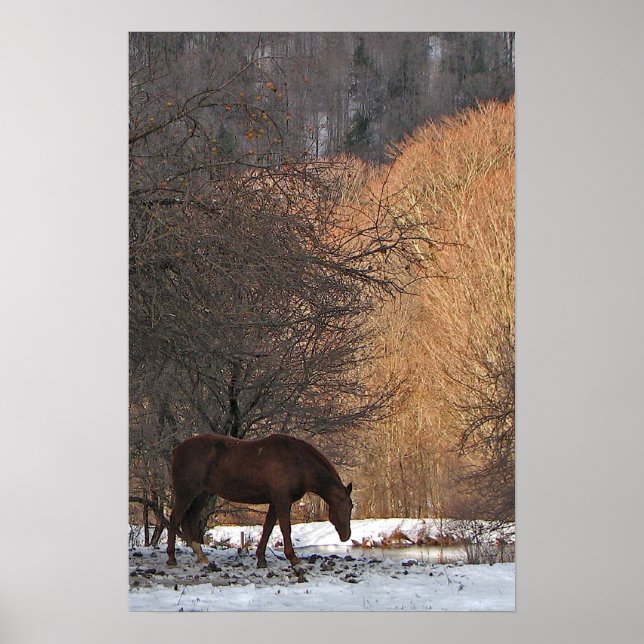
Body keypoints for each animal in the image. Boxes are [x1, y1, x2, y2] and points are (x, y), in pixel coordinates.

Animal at [166, 433, 353, 568]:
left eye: (351, 507)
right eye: (344, 506)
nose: (346, 536)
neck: (297, 462)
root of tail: (178, 448)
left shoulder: (275, 502)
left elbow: (268, 528)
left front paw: (261, 559)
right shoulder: (282, 501)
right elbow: (285, 529)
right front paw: (293, 558)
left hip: (201, 496)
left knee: (189, 521)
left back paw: (201, 557)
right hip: (186, 494)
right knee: (175, 520)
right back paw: (172, 558)